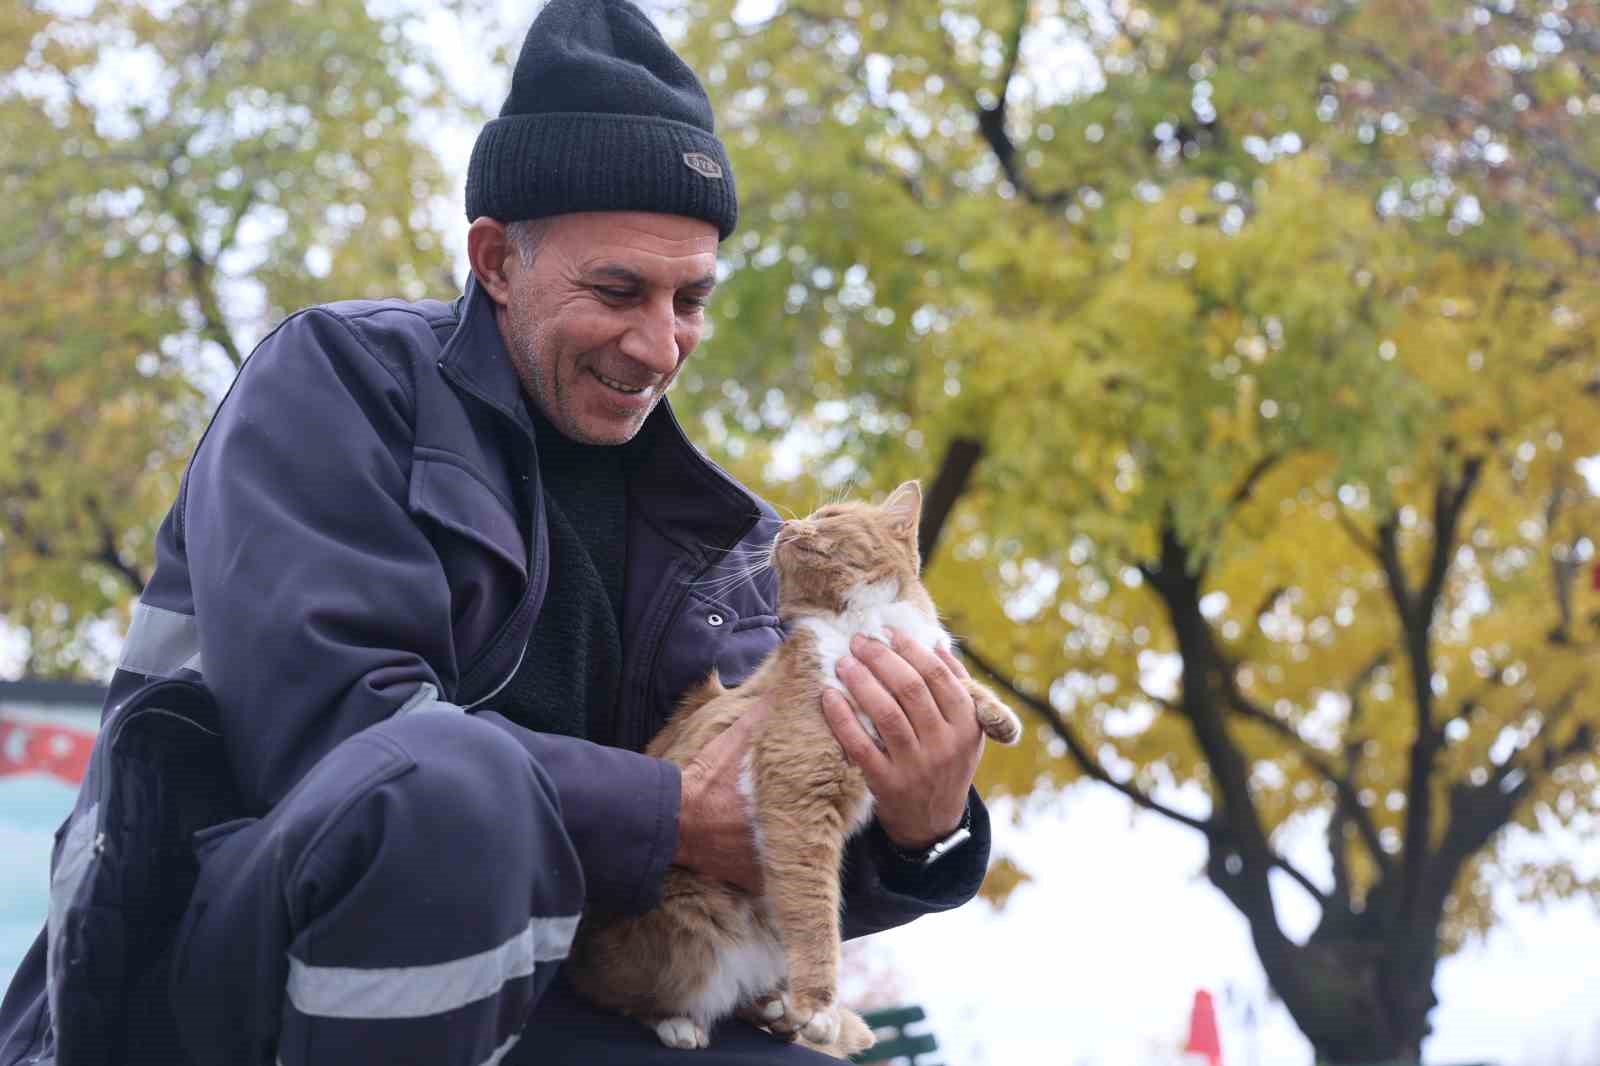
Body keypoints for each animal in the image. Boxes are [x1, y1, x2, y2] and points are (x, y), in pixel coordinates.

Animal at [569, 480, 1017, 1056]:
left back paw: (775, 1008)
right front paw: (817, 1006)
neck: (862, 625)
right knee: (618, 988)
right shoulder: (800, 785)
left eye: (830, 514)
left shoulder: (924, 656)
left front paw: (999, 716)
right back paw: (690, 1022)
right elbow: (814, 912)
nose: (784, 525)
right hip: (681, 931)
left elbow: (955, 673)